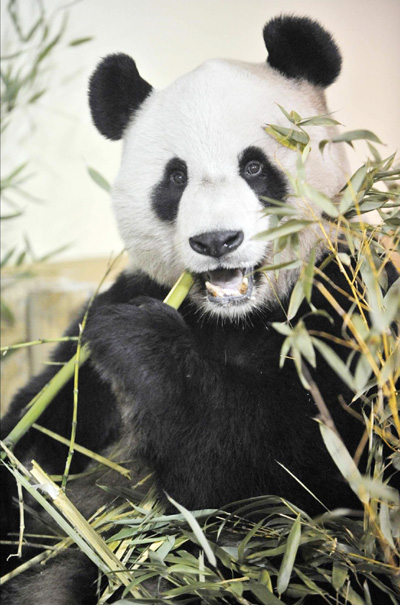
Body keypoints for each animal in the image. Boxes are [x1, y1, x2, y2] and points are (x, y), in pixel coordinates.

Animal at [0, 14, 396, 604]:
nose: (216, 241)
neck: (234, 318)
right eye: (176, 177)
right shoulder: (95, 337)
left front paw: (140, 342)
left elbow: (297, 465)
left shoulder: (347, 311)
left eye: (254, 166)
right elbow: (38, 435)